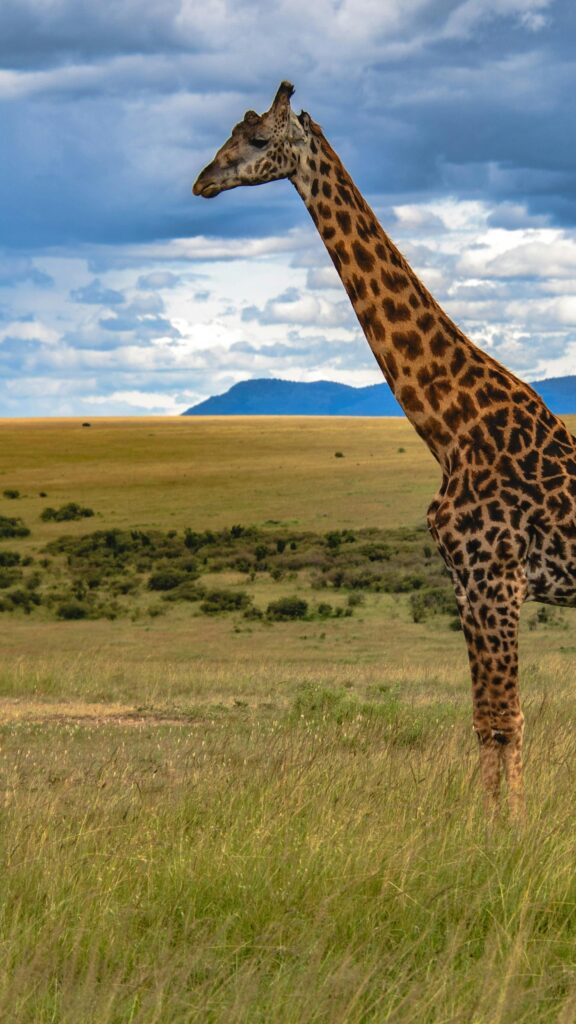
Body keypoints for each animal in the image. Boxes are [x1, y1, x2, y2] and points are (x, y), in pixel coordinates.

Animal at [193, 81, 576, 817]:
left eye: (257, 139)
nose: (202, 181)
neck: (450, 426)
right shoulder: (468, 584)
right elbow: (486, 719)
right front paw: (486, 822)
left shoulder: (495, 577)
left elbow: (504, 719)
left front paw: (506, 828)